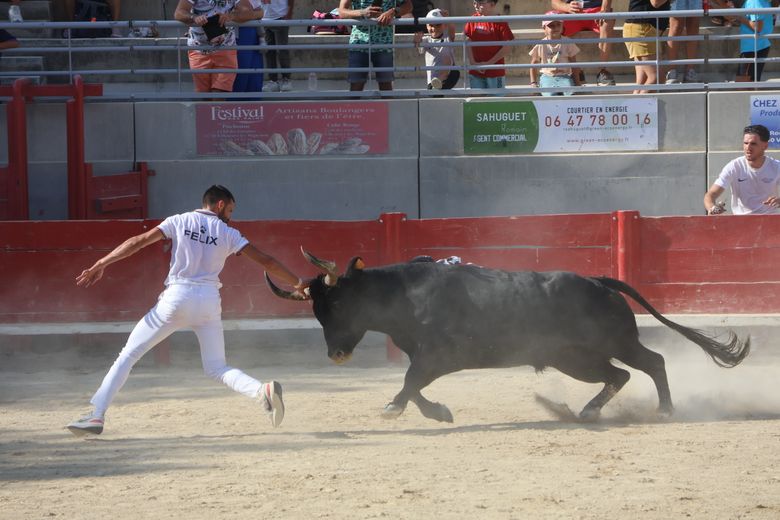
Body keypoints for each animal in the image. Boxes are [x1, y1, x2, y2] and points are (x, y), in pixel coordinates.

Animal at [268, 253, 748, 422]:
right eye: (315, 312)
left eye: (337, 306)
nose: (336, 354)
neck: (404, 295)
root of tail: (599, 281)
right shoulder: (426, 357)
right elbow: (414, 385)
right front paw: (436, 412)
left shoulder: (438, 355)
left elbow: (409, 381)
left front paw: (395, 408)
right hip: (574, 359)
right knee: (619, 376)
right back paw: (586, 411)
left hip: (616, 343)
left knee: (653, 363)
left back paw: (665, 409)